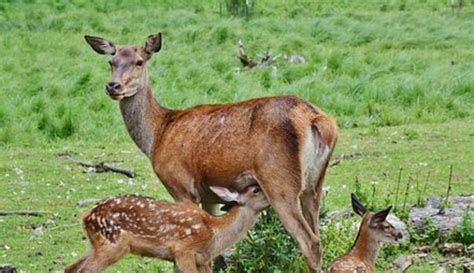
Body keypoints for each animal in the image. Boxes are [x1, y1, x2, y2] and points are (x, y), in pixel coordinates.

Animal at [65, 184, 270, 270]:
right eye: (256, 189)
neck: (215, 233)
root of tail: (86, 216)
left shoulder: (202, 259)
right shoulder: (182, 249)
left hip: (95, 244)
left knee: (70, 268)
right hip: (112, 243)